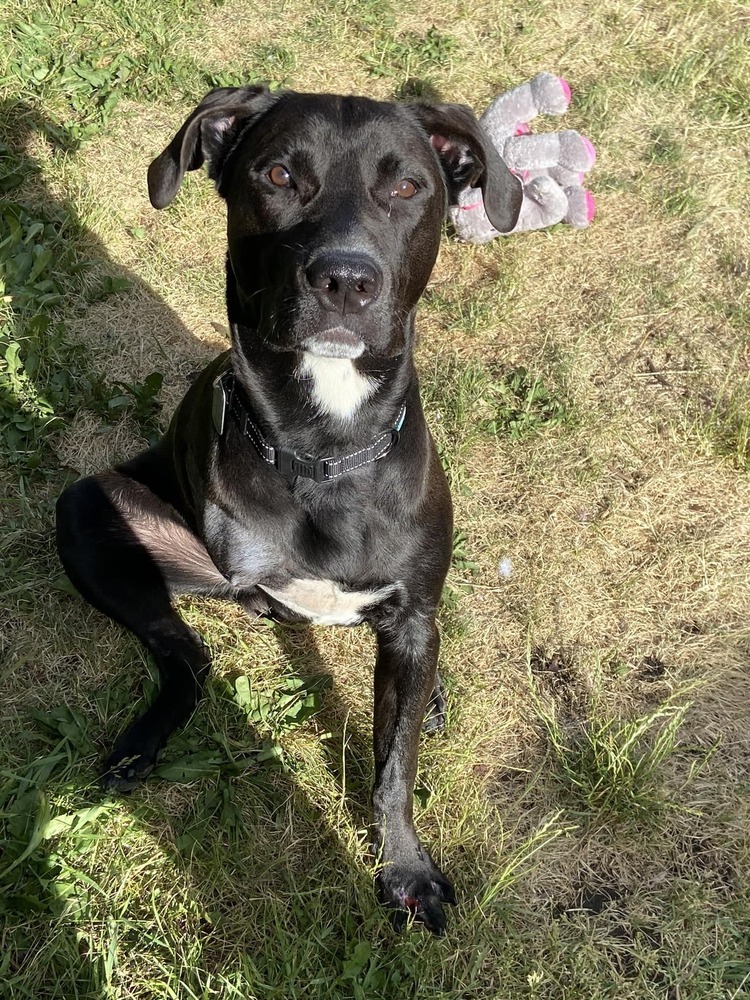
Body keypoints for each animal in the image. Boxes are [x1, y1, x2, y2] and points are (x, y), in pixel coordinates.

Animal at [57, 84, 524, 928]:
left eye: (408, 186)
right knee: (189, 658)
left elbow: (394, 765)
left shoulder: (411, 616)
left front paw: (404, 869)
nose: (345, 280)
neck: (327, 445)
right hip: (87, 512)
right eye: (278, 174)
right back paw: (140, 742)